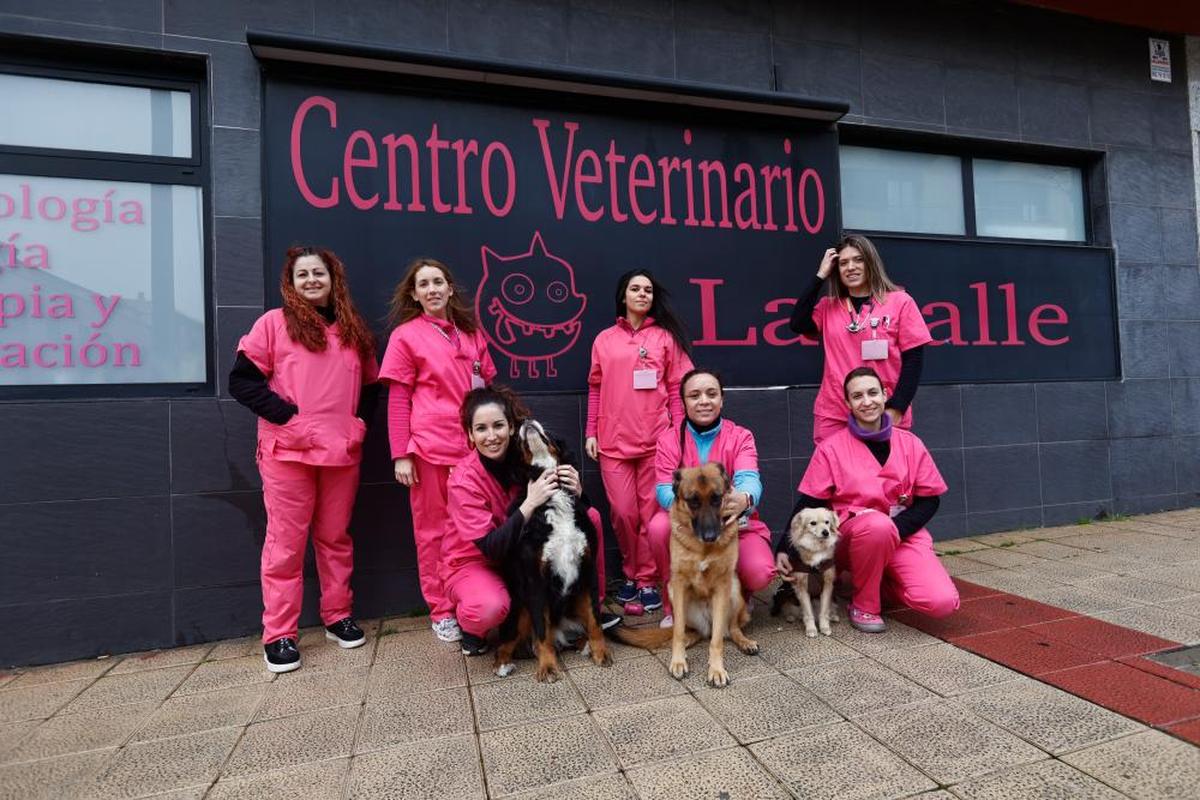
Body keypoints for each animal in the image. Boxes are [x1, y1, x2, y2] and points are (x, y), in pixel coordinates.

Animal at [492, 419, 614, 681]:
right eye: (517, 441)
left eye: (549, 431)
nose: (526, 421)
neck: (555, 495)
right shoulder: (535, 579)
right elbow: (541, 631)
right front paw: (548, 666)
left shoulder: (588, 568)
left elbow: (595, 619)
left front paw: (601, 651)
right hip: (520, 609)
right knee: (511, 642)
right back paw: (503, 663)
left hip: (574, 601)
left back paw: (585, 644)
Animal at [614, 462, 753, 690]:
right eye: (693, 501)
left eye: (717, 499)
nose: (710, 536)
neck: (703, 548)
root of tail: (706, 625)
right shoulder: (678, 585)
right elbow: (678, 632)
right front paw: (678, 661)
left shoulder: (723, 586)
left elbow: (716, 642)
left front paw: (716, 670)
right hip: (675, 594)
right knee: (690, 633)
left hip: (733, 590)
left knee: (729, 629)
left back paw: (744, 642)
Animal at [772, 506, 840, 638]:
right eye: (813, 523)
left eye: (827, 522)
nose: (826, 532)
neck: (816, 548)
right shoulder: (801, 587)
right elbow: (808, 613)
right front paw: (811, 629)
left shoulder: (827, 586)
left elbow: (824, 610)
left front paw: (824, 627)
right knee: (793, 611)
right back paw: (791, 617)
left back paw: (833, 616)